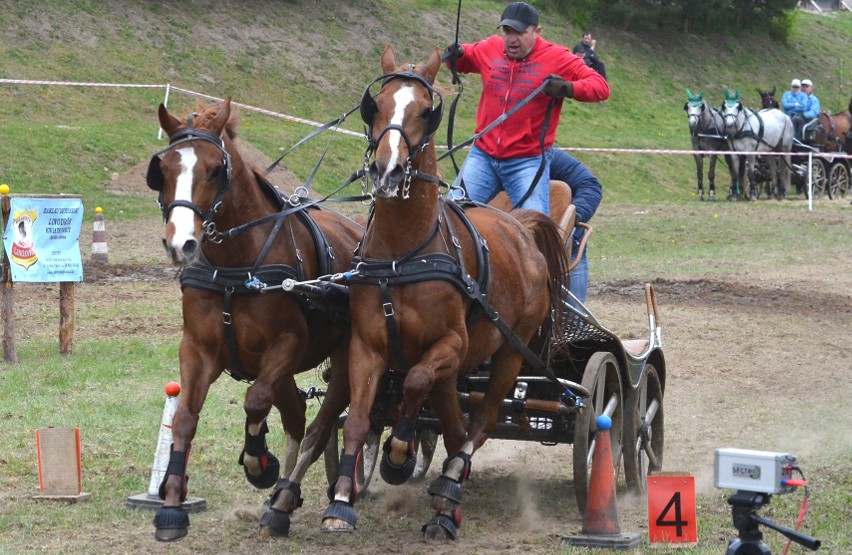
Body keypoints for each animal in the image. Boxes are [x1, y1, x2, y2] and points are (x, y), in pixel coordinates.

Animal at [150, 97, 362, 540]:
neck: (236, 267)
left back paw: (285, 498)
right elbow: (183, 419)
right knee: (298, 420)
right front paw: (172, 504)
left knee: (320, 428)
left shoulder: (286, 345)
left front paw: (259, 463)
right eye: (164, 169)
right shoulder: (196, 349)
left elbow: (255, 400)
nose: (182, 243)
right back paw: (283, 501)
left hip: (349, 359)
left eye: (216, 169)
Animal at [322, 45, 568, 540]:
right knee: (455, 424)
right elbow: (357, 419)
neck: (403, 253)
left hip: (509, 353)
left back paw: (450, 486)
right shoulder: (367, 346)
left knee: (481, 422)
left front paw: (399, 456)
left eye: (424, 110)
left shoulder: (449, 344)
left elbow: (415, 381)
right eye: (377, 105)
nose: (386, 169)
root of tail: (520, 227)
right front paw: (340, 500)